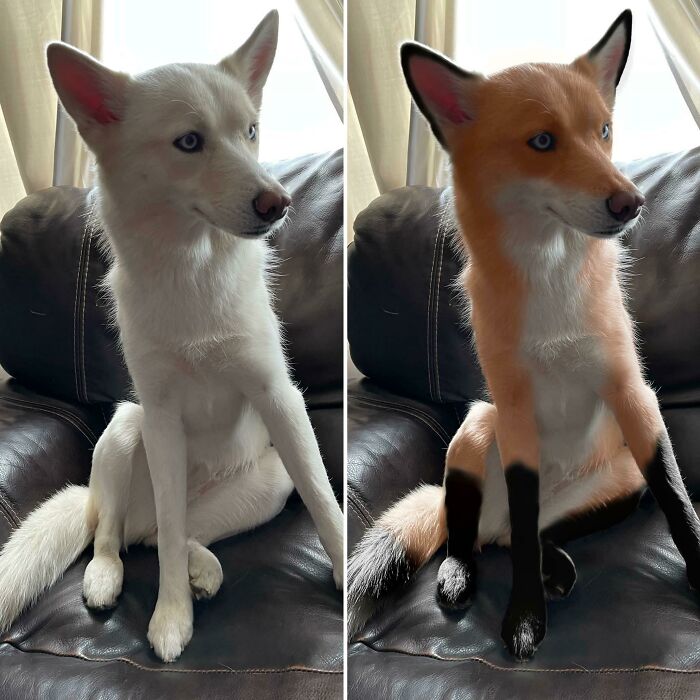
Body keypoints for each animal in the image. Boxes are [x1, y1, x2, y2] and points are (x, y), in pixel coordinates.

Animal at [0, 10, 343, 663]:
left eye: (251, 131)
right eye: (189, 142)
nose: (280, 203)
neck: (192, 267)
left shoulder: (280, 401)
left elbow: (324, 502)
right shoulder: (158, 417)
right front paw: (171, 615)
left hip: (267, 482)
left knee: (166, 532)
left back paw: (202, 565)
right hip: (122, 433)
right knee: (122, 533)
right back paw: (110, 575)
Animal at [348, 9, 700, 660]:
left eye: (604, 131)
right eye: (542, 142)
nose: (634, 203)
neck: (551, 281)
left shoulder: (635, 397)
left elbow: (678, 502)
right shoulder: (514, 413)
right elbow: (520, 511)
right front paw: (526, 617)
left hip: (620, 482)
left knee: (523, 534)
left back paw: (556, 565)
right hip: (472, 435)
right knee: (474, 535)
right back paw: (464, 572)